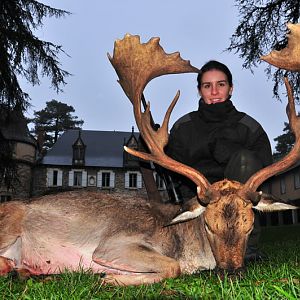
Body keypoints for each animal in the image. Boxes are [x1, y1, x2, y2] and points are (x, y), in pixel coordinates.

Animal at [0, 23, 298, 286]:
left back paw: (26, 271)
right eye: (209, 226)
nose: (232, 273)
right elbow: (173, 267)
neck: (179, 238)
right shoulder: (113, 244)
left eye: (249, 226)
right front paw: (108, 277)